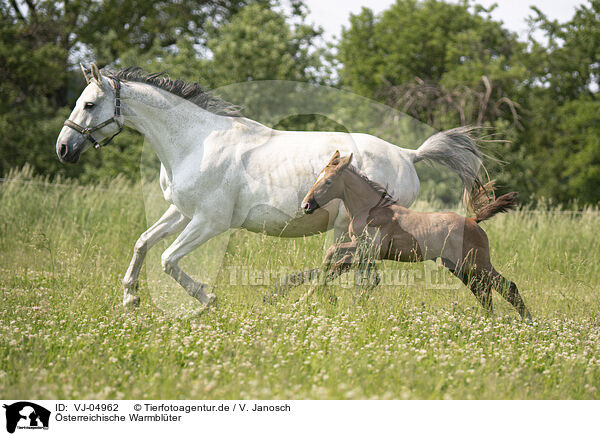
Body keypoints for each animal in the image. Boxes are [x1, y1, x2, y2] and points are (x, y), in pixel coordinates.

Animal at [56, 63, 482, 310]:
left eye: (90, 104)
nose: (63, 148)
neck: (195, 143)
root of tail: (408, 155)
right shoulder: (182, 212)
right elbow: (143, 243)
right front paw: (130, 297)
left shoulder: (210, 222)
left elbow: (168, 259)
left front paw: (207, 298)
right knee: (360, 276)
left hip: (352, 228)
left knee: (349, 270)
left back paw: (293, 296)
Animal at [298, 151, 532, 320]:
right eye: (318, 177)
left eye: (328, 182)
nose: (306, 205)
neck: (371, 209)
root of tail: (474, 221)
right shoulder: (364, 251)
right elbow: (344, 268)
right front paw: (313, 298)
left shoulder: (369, 248)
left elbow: (333, 255)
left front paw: (326, 298)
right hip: (461, 268)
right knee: (484, 293)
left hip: (477, 264)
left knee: (506, 287)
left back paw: (527, 321)